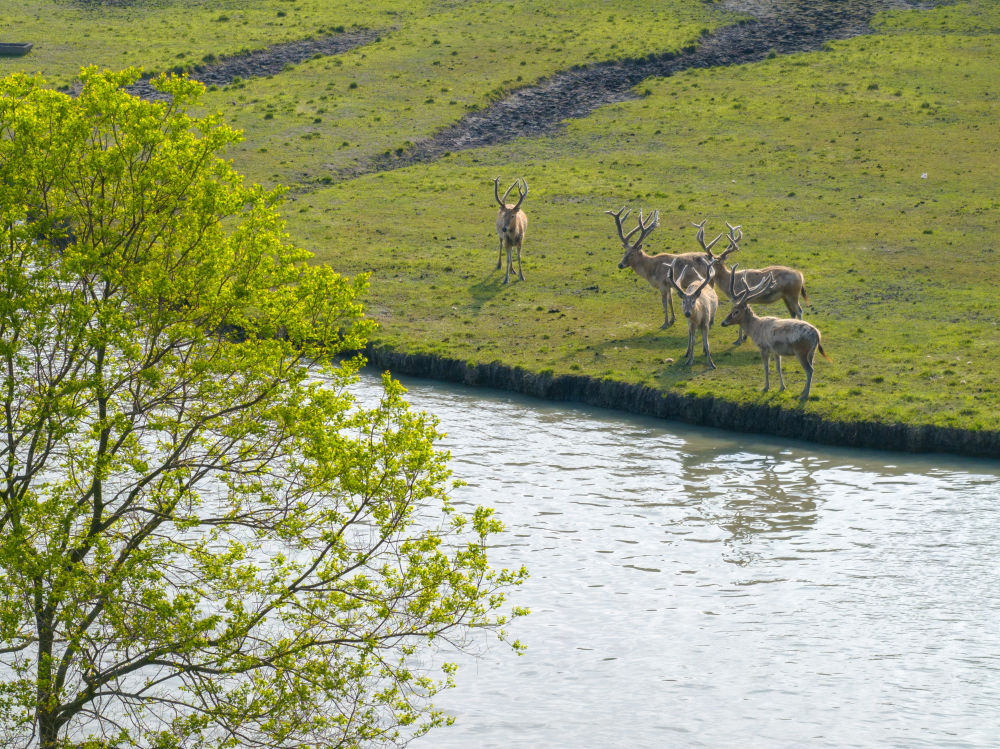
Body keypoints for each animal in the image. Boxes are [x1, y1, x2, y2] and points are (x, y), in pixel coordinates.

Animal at [716, 264, 832, 400]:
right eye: (731, 309)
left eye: (736, 311)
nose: (723, 323)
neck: (756, 328)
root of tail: (817, 335)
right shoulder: (776, 351)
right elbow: (778, 368)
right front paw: (782, 387)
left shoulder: (763, 347)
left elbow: (766, 367)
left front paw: (766, 387)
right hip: (811, 352)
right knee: (812, 367)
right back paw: (803, 392)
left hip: (801, 351)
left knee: (809, 370)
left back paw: (805, 395)